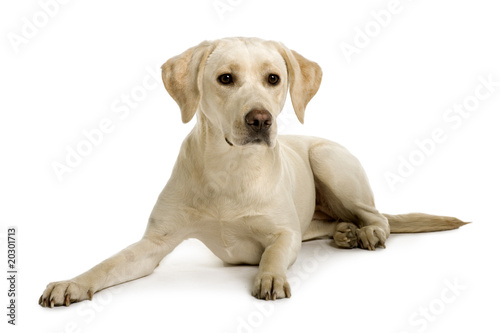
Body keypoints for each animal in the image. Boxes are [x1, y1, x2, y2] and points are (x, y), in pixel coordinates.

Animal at [40, 37, 468, 306]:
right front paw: (73, 283)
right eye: (225, 78)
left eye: (273, 78)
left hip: (328, 159)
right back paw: (345, 232)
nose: (260, 119)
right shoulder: (153, 245)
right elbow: (108, 264)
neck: (229, 169)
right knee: (332, 222)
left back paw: (368, 233)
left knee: (378, 216)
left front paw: (270, 277)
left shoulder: (283, 233)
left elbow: (274, 252)